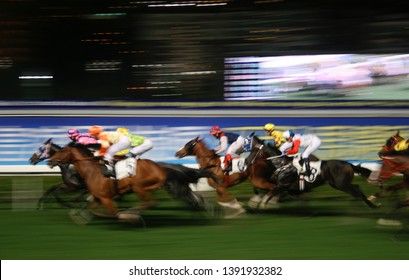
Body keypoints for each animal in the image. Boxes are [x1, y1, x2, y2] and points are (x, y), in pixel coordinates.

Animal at [244, 135, 378, 209]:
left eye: (254, 151)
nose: (246, 161)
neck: (282, 164)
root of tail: (348, 164)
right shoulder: (283, 186)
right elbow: (265, 191)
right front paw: (254, 202)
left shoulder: (283, 185)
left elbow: (269, 193)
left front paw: (262, 204)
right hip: (337, 184)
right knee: (357, 188)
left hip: (341, 184)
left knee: (357, 191)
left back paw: (373, 205)